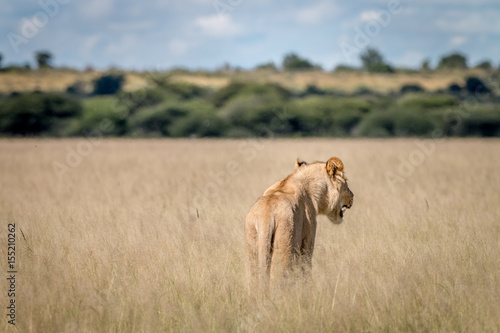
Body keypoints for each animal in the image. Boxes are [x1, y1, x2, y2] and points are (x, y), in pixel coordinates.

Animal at [244, 156, 354, 290]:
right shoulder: (308, 239)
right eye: (346, 181)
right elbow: (306, 268)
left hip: (253, 255)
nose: (353, 196)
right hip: (284, 251)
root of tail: (267, 215)